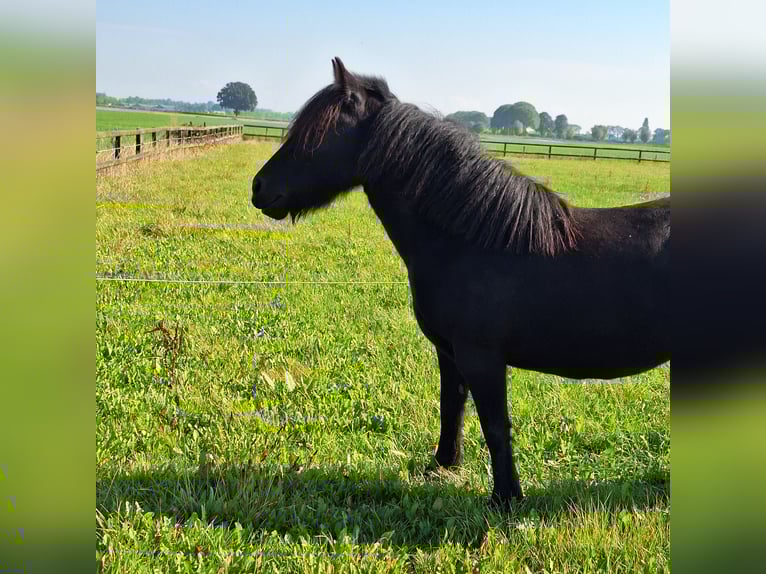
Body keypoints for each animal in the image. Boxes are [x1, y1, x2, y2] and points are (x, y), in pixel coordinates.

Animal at [251, 58, 670, 507]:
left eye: (315, 134)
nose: (258, 187)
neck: (469, 240)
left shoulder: (481, 358)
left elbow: (495, 426)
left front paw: (505, 498)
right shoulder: (450, 353)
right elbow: (451, 406)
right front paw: (444, 465)